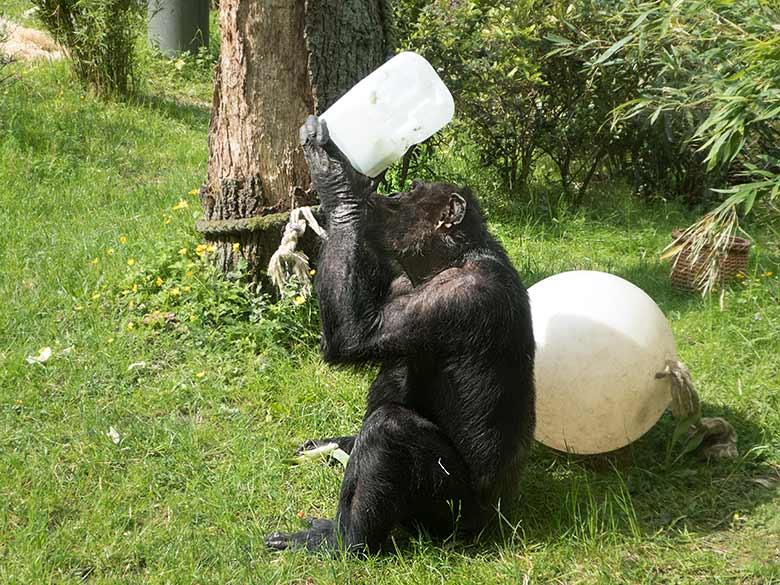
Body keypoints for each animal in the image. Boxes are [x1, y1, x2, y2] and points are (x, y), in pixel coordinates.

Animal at [264, 115, 536, 552]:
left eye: (410, 190)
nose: (389, 191)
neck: (447, 260)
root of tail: (497, 521)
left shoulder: (458, 298)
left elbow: (356, 335)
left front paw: (335, 176)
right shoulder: (400, 285)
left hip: (450, 520)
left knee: (389, 431)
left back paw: (341, 542)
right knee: (395, 370)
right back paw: (345, 446)